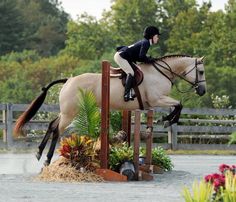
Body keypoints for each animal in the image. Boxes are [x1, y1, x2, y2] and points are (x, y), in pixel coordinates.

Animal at [13, 54, 206, 165]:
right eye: (202, 72)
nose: (202, 91)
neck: (161, 72)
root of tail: (69, 80)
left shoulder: (156, 101)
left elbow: (178, 105)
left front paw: (166, 120)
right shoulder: (156, 99)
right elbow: (179, 104)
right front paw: (167, 120)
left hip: (68, 112)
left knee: (52, 124)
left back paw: (39, 153)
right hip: (70, 113)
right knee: (56, 130)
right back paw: (46, 159)